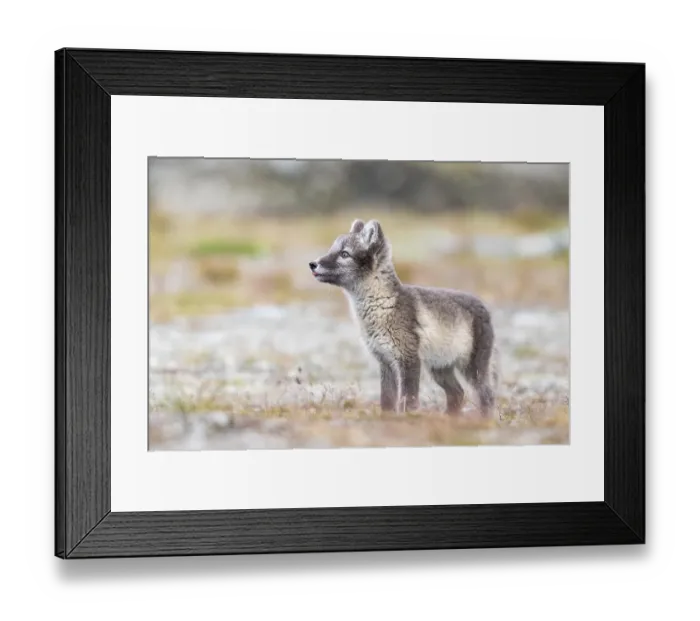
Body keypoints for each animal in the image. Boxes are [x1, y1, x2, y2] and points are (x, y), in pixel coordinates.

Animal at [309, 219, 499, 417]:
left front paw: (408, 418)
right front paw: (387, 419)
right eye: (332, 249)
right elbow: (387, 399)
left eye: (344, 254)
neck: (383, 306)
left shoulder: (408, 358)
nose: (312, 264)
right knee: (458, 393)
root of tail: (484, 306)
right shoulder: (385, 361)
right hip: (439, 368)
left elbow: (408, 399)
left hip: (472, 368)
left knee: (487, 395)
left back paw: (484, 420)